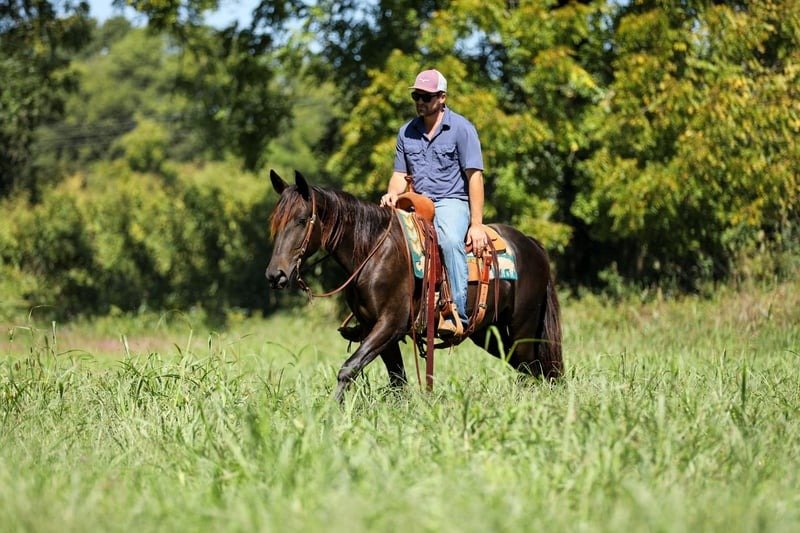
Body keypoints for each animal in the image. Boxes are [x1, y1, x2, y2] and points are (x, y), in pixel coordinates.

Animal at [265, 170, 563, 401]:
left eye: (301, 220)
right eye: (276, 222)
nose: (274, 275)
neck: (373, 250)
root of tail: (531, 245)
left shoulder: (390, 324)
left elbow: (348, 369)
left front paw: (331, 412)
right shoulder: (374, 328)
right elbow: (397, 380)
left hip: (521, 330)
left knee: (532, 370)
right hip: (490, 334)